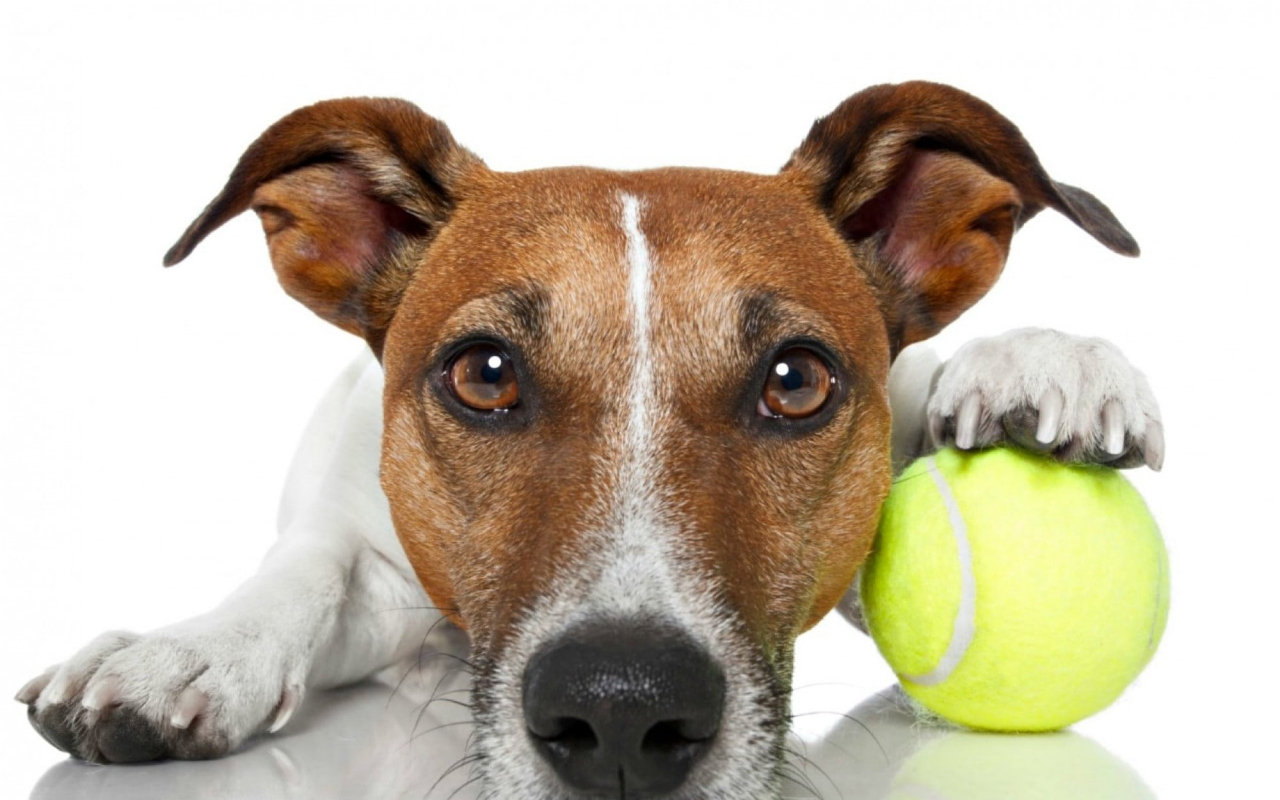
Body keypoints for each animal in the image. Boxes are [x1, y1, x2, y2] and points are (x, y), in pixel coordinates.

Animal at [17, 82, 1162, 798]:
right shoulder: (366, 555)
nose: (621, 712)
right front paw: (189, 653)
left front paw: (1030, 362)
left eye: (794, 381)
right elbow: (306, 574)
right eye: (483, 373)